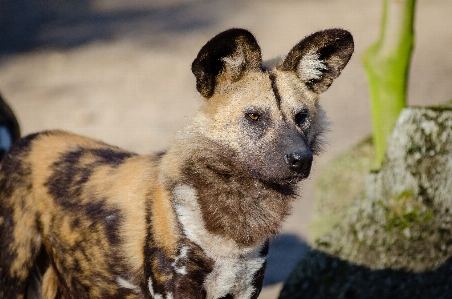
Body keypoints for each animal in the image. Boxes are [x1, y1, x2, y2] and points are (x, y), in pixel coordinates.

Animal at [0, 28, 354, 299]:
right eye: (255, 117)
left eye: (302, 117)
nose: (301, 159)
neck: (230, 233)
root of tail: (25, 141)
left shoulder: (243, 288)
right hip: (13, 279)